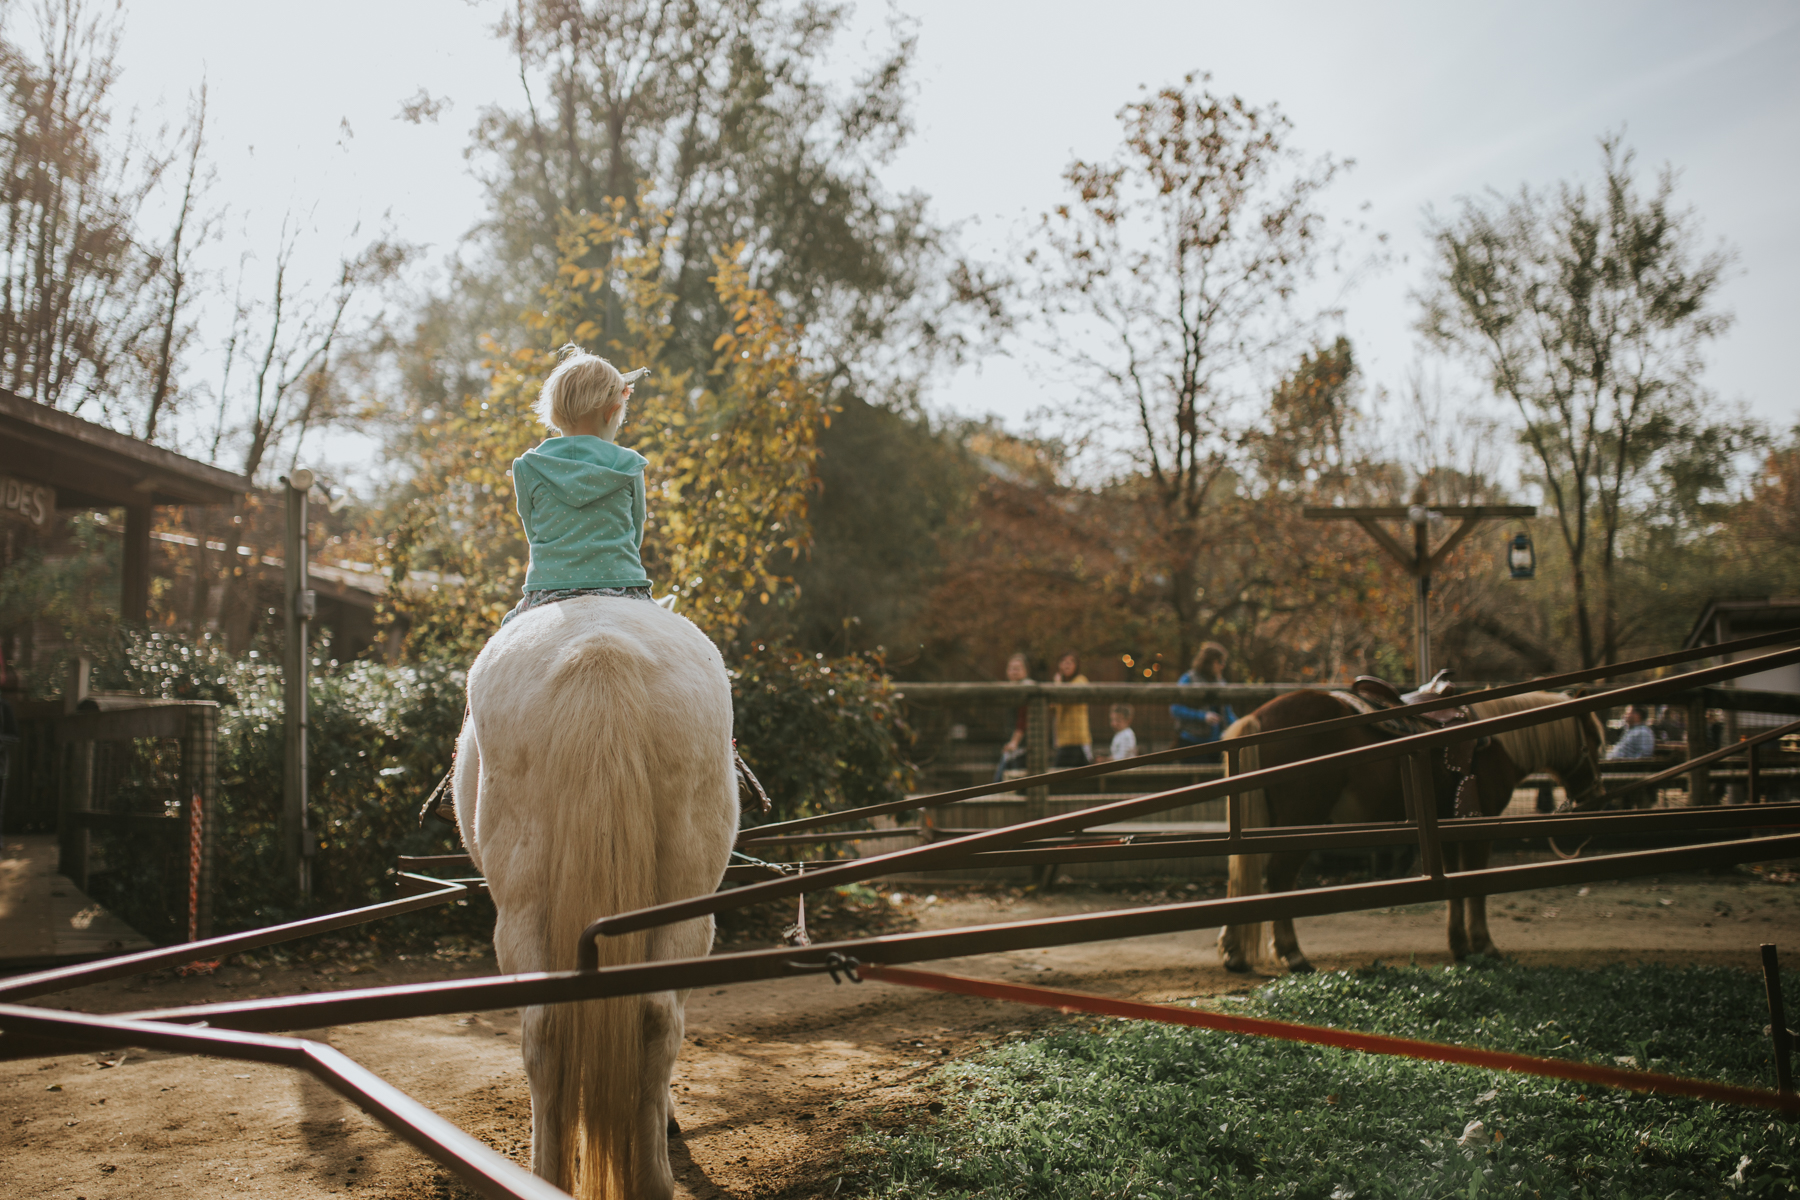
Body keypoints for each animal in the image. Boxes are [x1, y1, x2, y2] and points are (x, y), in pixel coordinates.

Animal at [457, 597, 738, 1200]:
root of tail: (600, 649)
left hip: (523, 908)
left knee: (549, 1027)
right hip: (686, 902)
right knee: (653, 1015)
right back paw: (647, 1177)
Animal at [1224, 694, 1605, 978]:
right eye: (1596, 741)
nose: (1594, 796)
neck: (1496, 741)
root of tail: (1259, 716)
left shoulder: (1447, 828)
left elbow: (1455, 885)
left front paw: (1460, 946)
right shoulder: (1481, 825)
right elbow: (1476, 884)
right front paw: (1484, 946)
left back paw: (1235, 952)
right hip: (1301, 821)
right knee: (1280, 877)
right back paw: (1293, 955)